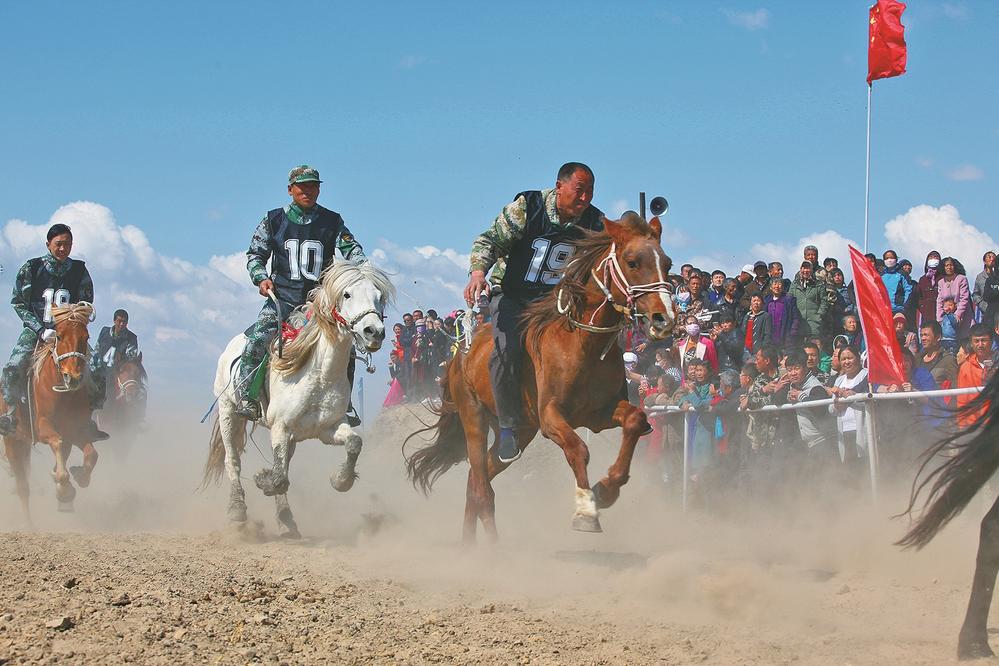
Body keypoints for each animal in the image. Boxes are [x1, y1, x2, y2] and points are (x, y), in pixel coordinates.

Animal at [1, 300, 99, 512]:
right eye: (59, 336)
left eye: (86, 336)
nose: (73, 377)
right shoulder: (43, 426)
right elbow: (57, 443)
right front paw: (63, 488)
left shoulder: (75, 431)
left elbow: (92, 454)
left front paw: (78, 476)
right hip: (12, 442)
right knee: (23, 488)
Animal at [201, 262, 392, 536]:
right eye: (346, 294)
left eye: (379, 297)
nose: (374, 332)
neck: (318, 374)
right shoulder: (280, 428)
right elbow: (279, 477)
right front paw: (262, 480)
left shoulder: (328, 428)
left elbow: (354, 443)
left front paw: (340, 480)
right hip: (229, 411)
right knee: (232, 460)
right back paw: (237, 508)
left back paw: (286, 521)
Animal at [406, 213, 680, 540]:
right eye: (632, 261)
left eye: (667, 263)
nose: (664, 318)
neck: (582, 343)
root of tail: (459, 354)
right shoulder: (551, 416)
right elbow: (578, 448)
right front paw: (586, 509)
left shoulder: (599, 414)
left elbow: (635, 421)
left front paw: (606, 489)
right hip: (473, 417)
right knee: (481, 486)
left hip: (520, 431)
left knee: (477, 480)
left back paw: (470, 544)